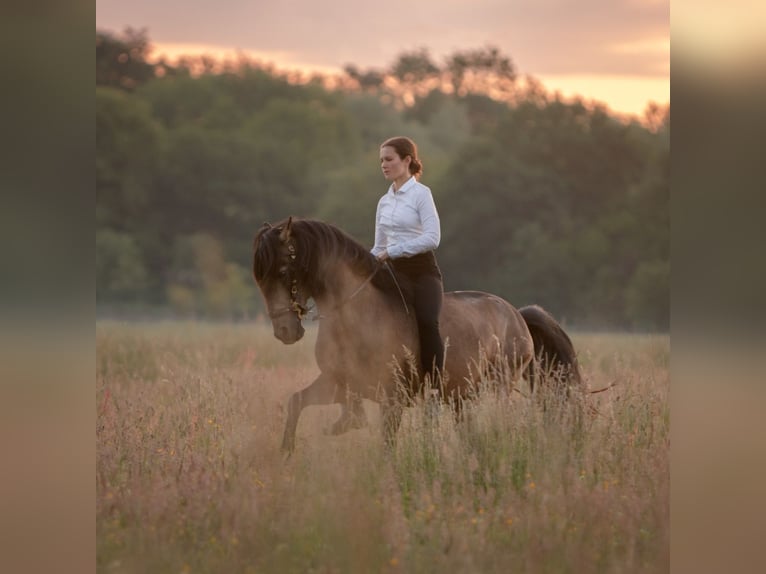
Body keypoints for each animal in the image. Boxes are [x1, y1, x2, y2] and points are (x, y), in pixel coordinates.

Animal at [254, 217, 584, 454]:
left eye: (282, 271)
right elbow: (297, 401)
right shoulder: (336, 382)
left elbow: (387, 445)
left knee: (499, 420)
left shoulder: (393, 398)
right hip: (462, 396)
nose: (285, 332)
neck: (356, 314)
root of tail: (517, 315)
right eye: (261, 280)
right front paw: (287, 452)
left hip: (498, 385)